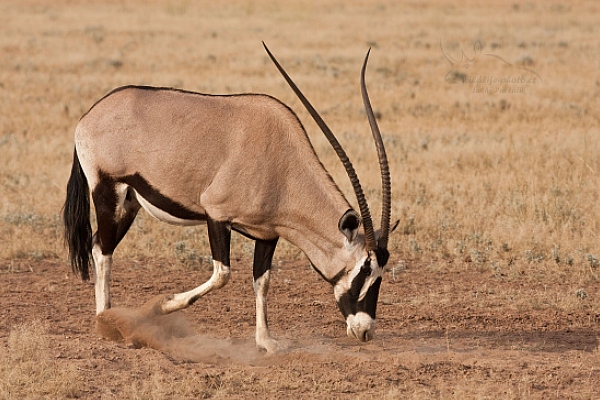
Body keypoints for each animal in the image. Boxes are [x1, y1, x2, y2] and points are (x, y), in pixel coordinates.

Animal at [63, 42, 394, 352]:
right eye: (364, 270)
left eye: (381, 274)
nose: (366, 331)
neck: (282, 163)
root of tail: (89, 116)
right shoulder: (217, 215)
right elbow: (222, 274)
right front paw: (161, 305)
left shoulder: (267, 233)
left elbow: (262, 281)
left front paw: (266, 342)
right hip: (108, 192)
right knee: (102, 251)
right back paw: (106, 321)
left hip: (129, 203)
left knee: (99, 245)